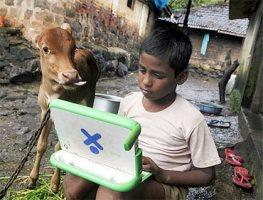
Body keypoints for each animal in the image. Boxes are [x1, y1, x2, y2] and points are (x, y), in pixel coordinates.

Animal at [27, 23, 100, 192]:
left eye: (73, 47)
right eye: (45, 48)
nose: (71, 76)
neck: (54, 94)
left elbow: (58, 146)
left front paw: (54, 184)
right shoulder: (44, 111)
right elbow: (41, 145)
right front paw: (32, 179)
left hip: (91, 94)